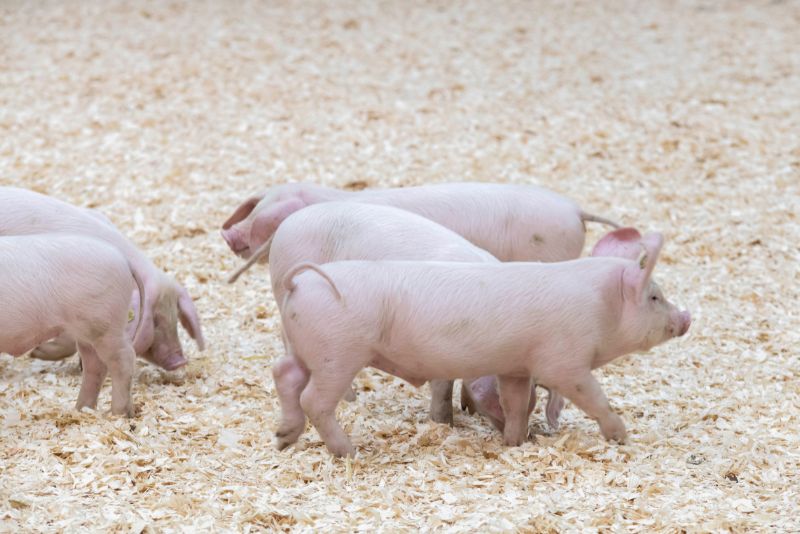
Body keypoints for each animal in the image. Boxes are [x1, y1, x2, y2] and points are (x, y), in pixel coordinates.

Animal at [0, 234, 145, 416]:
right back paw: (82, 409)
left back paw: (119, 414)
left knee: (123, 359)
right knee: (95, 365)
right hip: (86, 333)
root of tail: (124, 260)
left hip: (104, 324)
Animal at [275, 231, 690, 457]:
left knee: (284, 375)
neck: (600, 308)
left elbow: (516, 404)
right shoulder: (563, 362)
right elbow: (592, 396)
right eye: (654, 297)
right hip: (338, 354)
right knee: (314, 399)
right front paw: (621, 436)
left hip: (305, 349)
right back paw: (349, 452)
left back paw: (282, 440)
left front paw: (515, 442)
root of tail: (302, 283)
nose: (686, 318)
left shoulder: (515, 368)